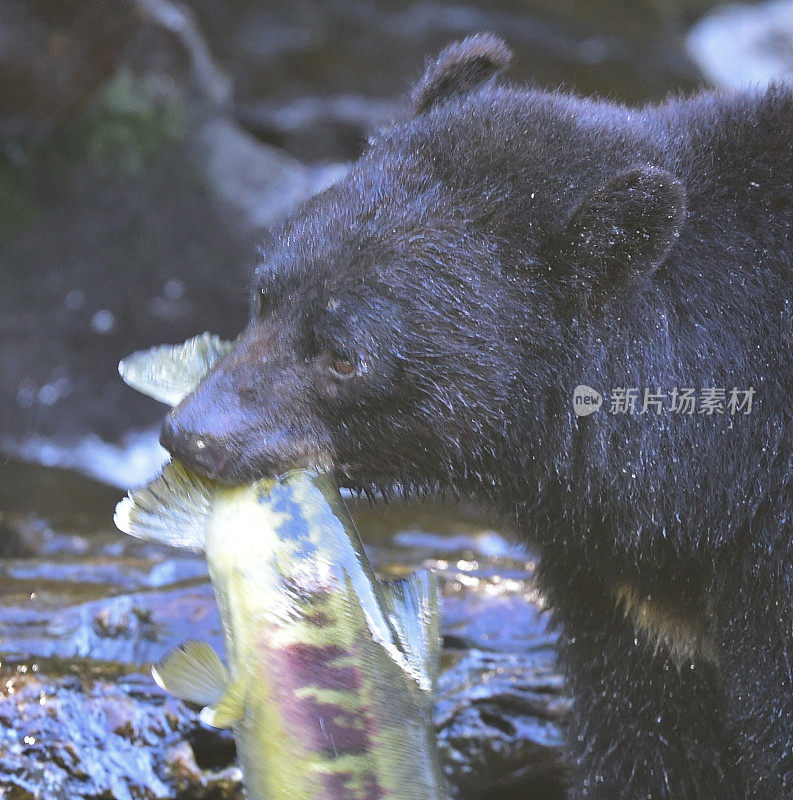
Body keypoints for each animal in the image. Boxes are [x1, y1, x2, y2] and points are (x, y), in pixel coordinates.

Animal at [159, 32, 792, 800]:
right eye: (264, 293)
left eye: (343, 355)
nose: (193, 434)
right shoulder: (625, 600)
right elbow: (646, 736)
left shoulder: (768, 558)